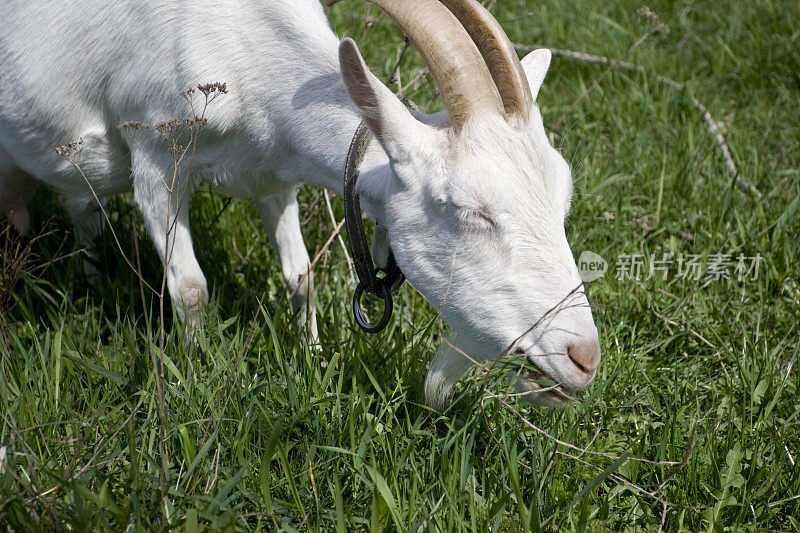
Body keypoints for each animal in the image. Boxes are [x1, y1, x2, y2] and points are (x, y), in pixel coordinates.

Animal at [0, 0, 596, 404]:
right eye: (471, 210)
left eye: (562, 198)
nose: (584, 357)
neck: (240, 46)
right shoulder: (154, 158)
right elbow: (190, 289)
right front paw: (201, 373)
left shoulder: (272, 173)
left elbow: (301, 275)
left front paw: (312, 356)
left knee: (82, 210)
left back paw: (90, 278)